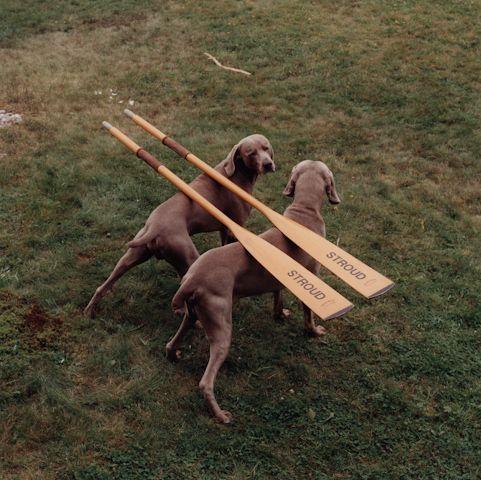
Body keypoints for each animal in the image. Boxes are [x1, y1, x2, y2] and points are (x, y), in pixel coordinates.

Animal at [84, 134, 276, 318]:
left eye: (266, 147)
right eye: (251, 153)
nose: (268, 164)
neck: (236, 175)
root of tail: (154, 228)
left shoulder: (223, 230)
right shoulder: (233, 228)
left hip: (134, 255)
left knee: (103, 285)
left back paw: (89, 310)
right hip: (188, 256)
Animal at [171, 159, 340, 422]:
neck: (303, 215)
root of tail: (192, 279)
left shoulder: (279, 279)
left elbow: (277, 297)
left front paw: (280, 315)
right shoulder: (311, 277)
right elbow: (309, 315)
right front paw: (315, 332)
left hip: (192, 314)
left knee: (171, 343)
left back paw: (173, 355)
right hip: (221, 327)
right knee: (205, 382)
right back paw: (221, 415)